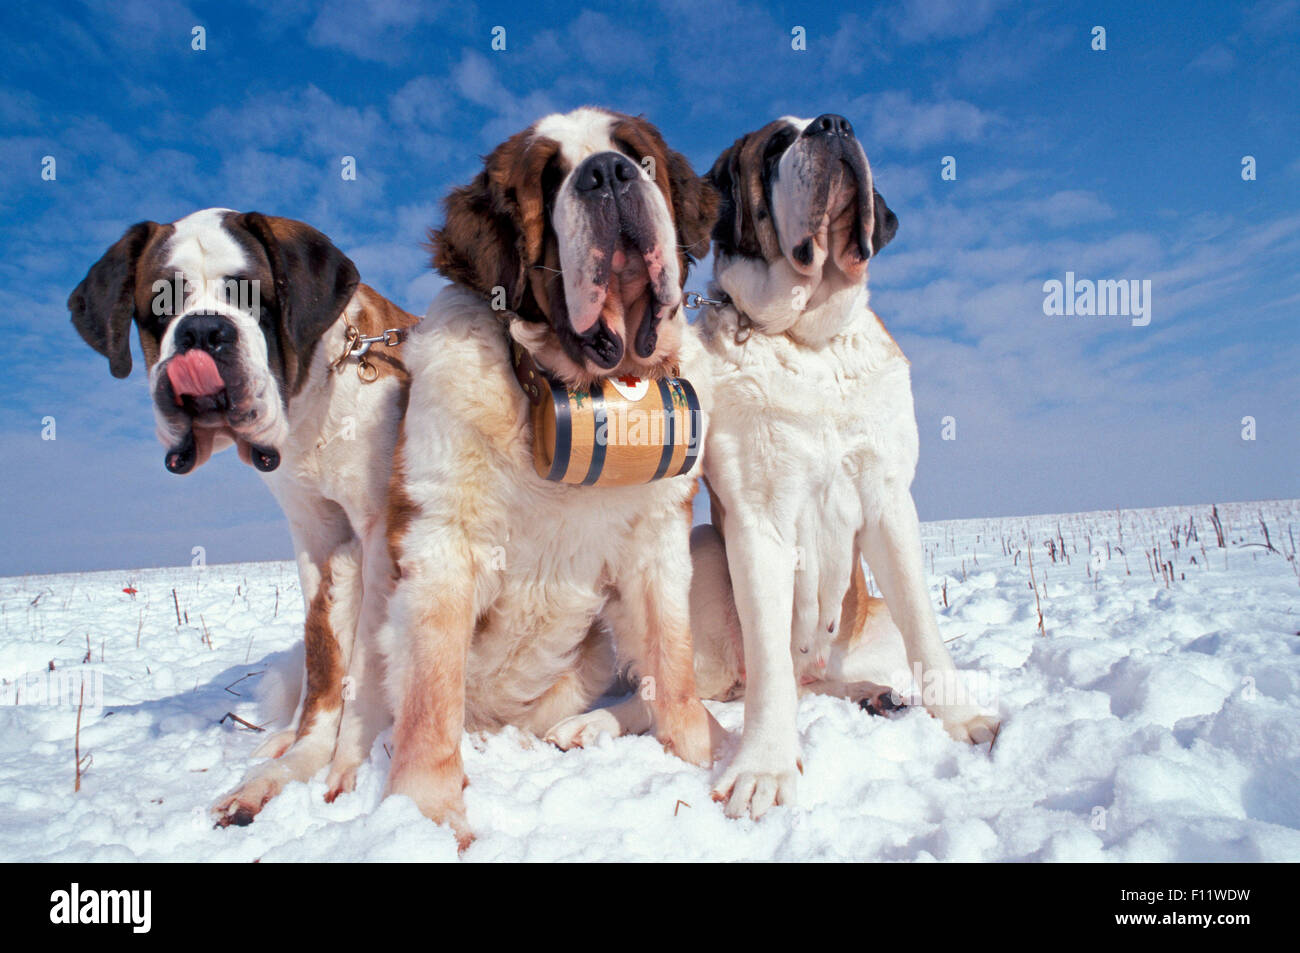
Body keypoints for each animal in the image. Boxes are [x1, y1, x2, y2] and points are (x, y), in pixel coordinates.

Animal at [68, 210, 418, 826]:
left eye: (250, 296)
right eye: (160, 306)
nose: (203, 332)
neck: (318, 394)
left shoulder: (379, 536)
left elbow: (365, 670)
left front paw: (349, 767)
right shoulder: (320, 542)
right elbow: (326, 664)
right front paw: (290, 765)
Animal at [379, 105, 722, 842]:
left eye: (638, 158)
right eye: (549, 177)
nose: (608, 175)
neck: (573, 386)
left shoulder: (657, 541)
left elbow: (673, 664)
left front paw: (699, 760)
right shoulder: (442, 543)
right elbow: (429, 696)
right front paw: (424, 816)